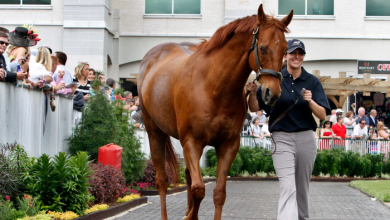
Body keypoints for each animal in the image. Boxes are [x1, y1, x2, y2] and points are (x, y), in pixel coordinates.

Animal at [137, 3, 292, 220]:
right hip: (154, 132)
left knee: (187, 176)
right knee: (162, 181)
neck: (213, 86)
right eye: (262, 48)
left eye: (285, 49)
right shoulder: (192, 142)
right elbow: (199, 189)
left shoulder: (228, 145)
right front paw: (191, 215)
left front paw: (191, 213)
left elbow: (218, 193)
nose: (273, 93)